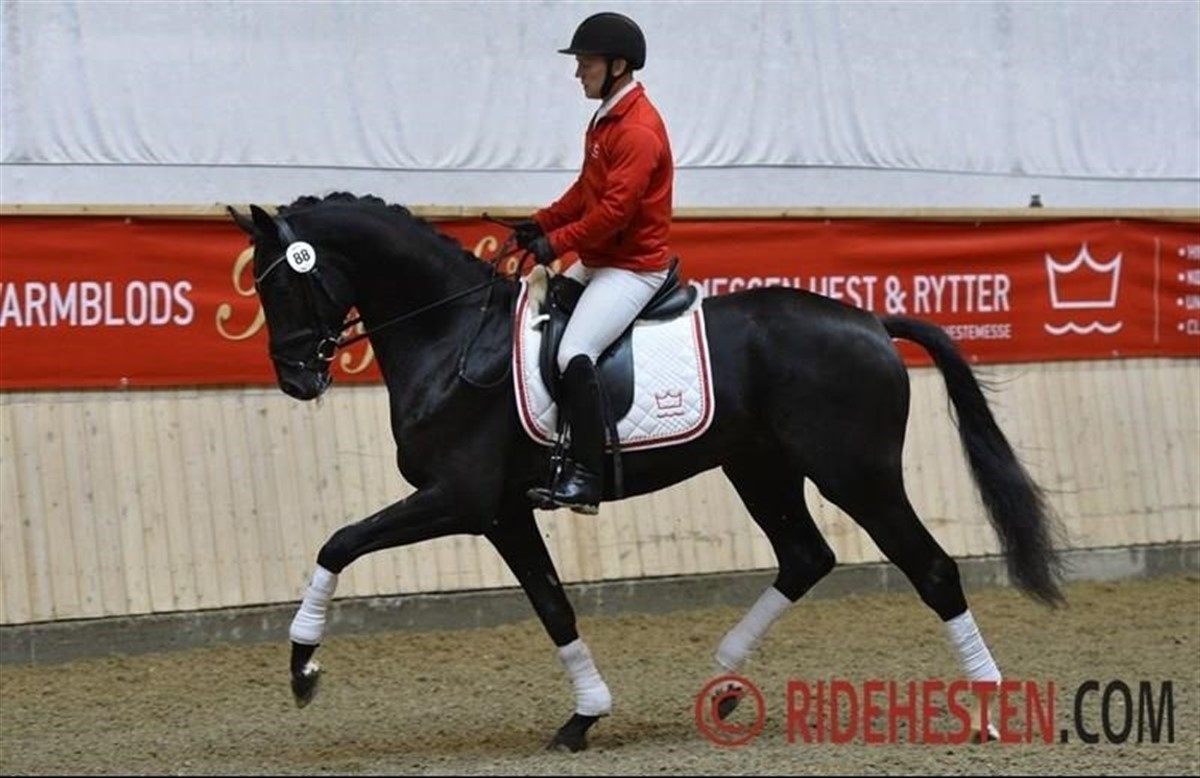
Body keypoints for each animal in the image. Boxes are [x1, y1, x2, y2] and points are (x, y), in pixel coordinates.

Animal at [227, 192, 1065, 751]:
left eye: (284, 281)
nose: (296, 378)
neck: (452, 334)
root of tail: (869, 322)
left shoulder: (459, 499)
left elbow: (338, 542)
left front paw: (303, 668)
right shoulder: (502, 512)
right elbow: (553, 607)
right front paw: (584, 715)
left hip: (856, 476)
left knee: (932, 569)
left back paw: (984, 710)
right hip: (759, 468)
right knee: (805, 556)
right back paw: (722, 683)